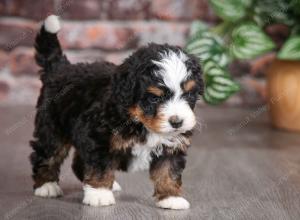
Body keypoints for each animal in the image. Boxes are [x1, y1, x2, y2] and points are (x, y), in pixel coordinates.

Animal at [30, 14, 204, 210]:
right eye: (154, 98)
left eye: (188, 94)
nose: (177, 122)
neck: (139, 120)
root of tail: (61, 68)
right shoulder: (99, 137)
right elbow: (100, 165)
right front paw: (99, 193)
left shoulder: (172, 144)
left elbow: (168, 170)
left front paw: (171, 197)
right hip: (52, 127)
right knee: (47, 154)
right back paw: (47, 186)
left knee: (77, 162)